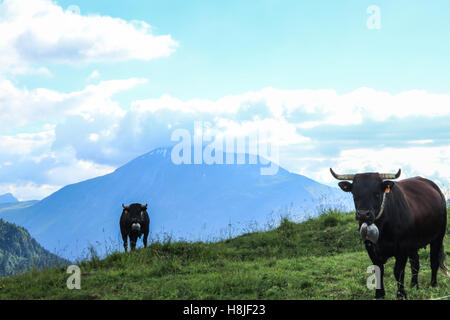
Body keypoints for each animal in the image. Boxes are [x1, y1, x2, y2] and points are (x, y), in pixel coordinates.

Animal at [328, 169, 448, 298]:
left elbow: (398, 272)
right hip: (414, 243)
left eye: (377, 193)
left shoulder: (402, 248)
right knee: (415, 263)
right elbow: (378, 269)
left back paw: (433, 284)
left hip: (438, 237)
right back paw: (414, 286)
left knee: (433, 261)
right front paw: (379, 294)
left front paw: (401, 294)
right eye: (354, 194)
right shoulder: (370, 247)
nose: (363, 214)